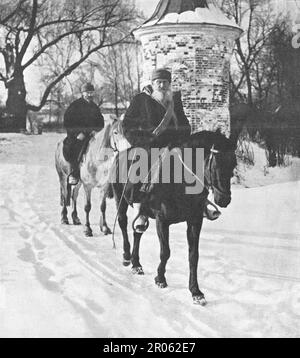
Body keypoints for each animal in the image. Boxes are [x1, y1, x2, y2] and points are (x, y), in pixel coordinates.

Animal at [112, 131, 237, 304]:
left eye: (233, 164)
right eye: (216, 164)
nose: (224, 199)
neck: (181, 181)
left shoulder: (195, 221)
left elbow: (193, 256)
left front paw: (195, 291)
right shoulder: (162, 221)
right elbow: (165, 252)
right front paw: (160, 278)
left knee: (138, 231)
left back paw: (136, 264)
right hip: (120, 199)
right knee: (123, 223)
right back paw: (126, 256)